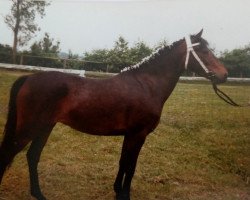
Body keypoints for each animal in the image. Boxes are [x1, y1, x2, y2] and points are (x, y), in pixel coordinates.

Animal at [0, 29, 228, 200]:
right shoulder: (138, 134)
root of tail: (29, 78)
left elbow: (123, 162)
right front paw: (125, 195)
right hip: (29, 129)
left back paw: (39, 194)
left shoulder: (129, 135)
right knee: (8, 155)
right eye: (203, 50)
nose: (224, 75)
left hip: (45, 127)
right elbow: (131, 165)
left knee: (32, 156)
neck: (146, 85)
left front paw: (117, 191)